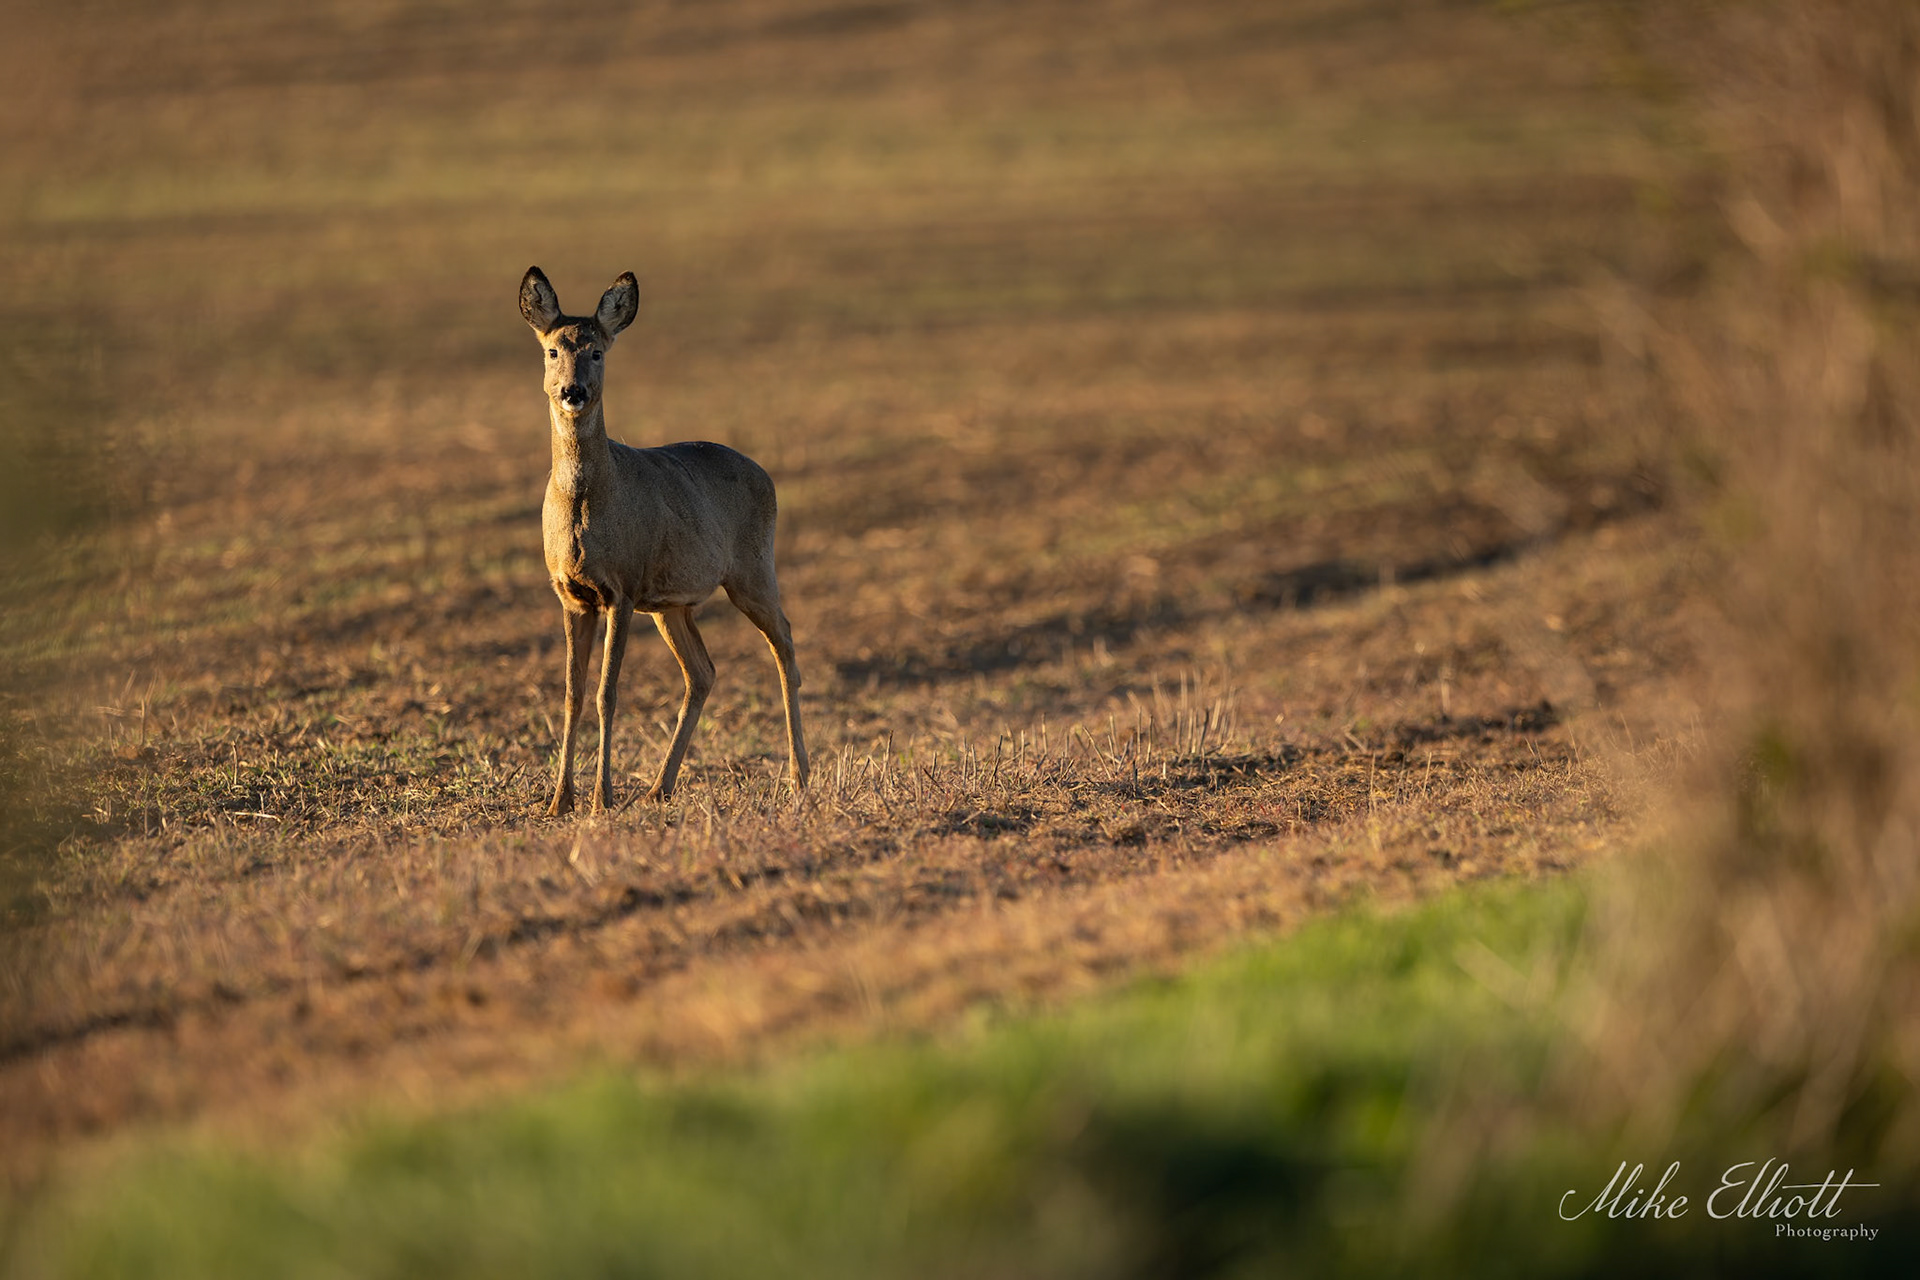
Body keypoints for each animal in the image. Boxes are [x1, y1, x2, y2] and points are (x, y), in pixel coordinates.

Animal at [519, 266, 809, 815]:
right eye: (551, 350)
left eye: (597, 352)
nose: (572, 391)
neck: (585, 507)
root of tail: (764, 473)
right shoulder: (571, 595)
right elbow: (571, 693)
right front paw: (558, 801)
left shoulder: (623, 588)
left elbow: (606, 694)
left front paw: (601, 800)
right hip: (672, 605)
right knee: (703, 671)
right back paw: (660, 787)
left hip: (752, 569)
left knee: (783, 643)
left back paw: (800, 778)